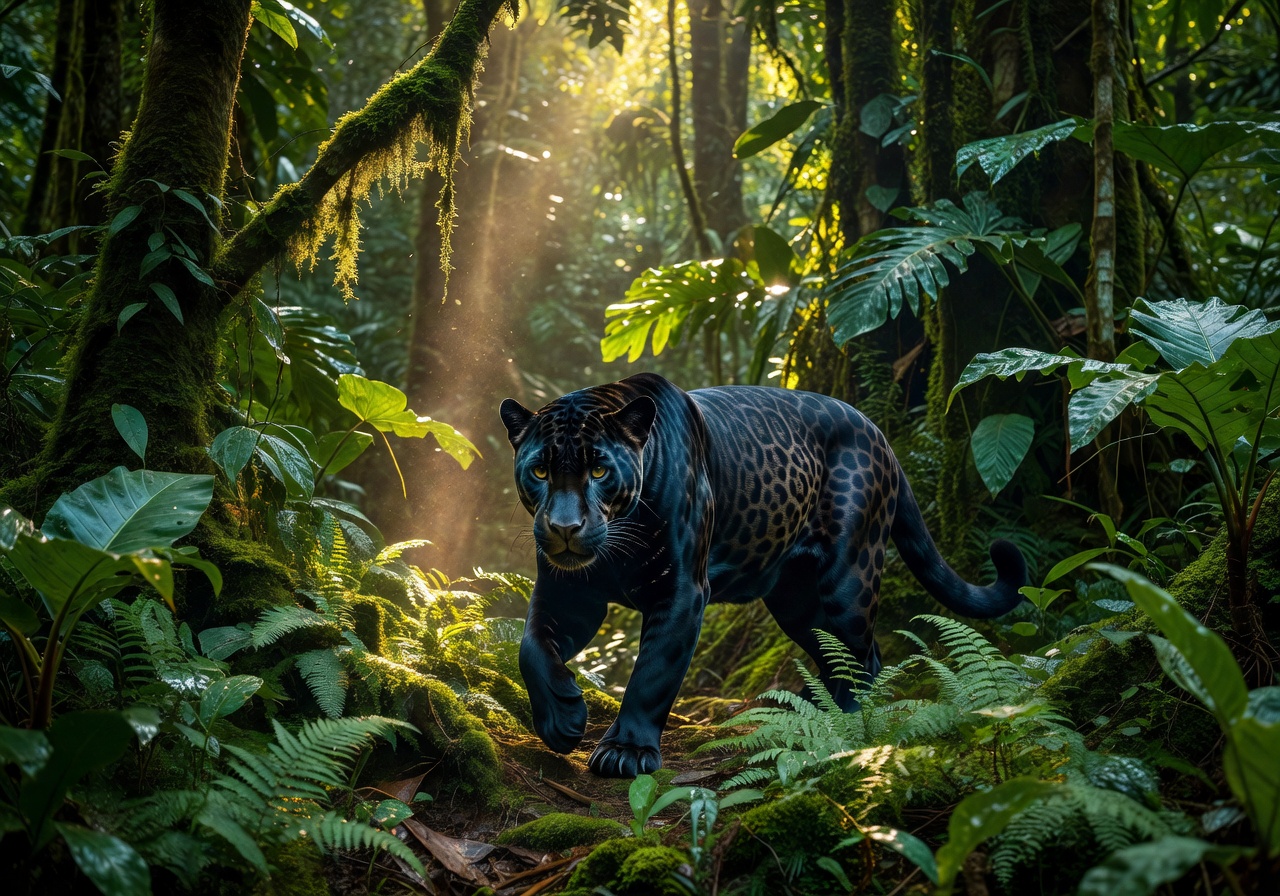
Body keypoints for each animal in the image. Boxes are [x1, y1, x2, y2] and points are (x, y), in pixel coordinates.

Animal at [500, 372, 1026, 778]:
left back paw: (843, 725)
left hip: (850, 580)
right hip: (796, 601)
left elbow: (653, 672)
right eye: (541, 471)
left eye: (600, 471)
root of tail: (879, 432)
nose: (565, 527)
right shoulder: (569, 595)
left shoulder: (682, 593)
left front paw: (625, 750)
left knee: (863, 655)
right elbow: (532, 646)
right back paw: (814, 710)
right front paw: (562, 719)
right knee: (835, 650)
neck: (614, 549)